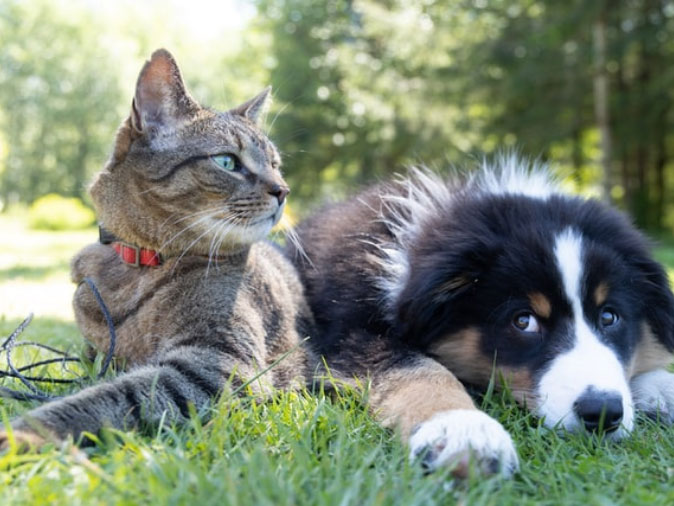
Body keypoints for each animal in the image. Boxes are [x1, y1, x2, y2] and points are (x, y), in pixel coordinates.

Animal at [0, 49, 316, 448]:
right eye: (227, 161)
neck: (138, 266)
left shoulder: (218, 363)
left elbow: (111, 396)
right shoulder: (95, 353)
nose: (283, 190)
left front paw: (25, 433)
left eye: (275, 165)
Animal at [288, 155, 672, 478]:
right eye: (523, 321)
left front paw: (661, 386)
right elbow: (419, 369)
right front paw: (464, 430)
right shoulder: (349, 334)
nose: (602, 412)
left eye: (609, 317)